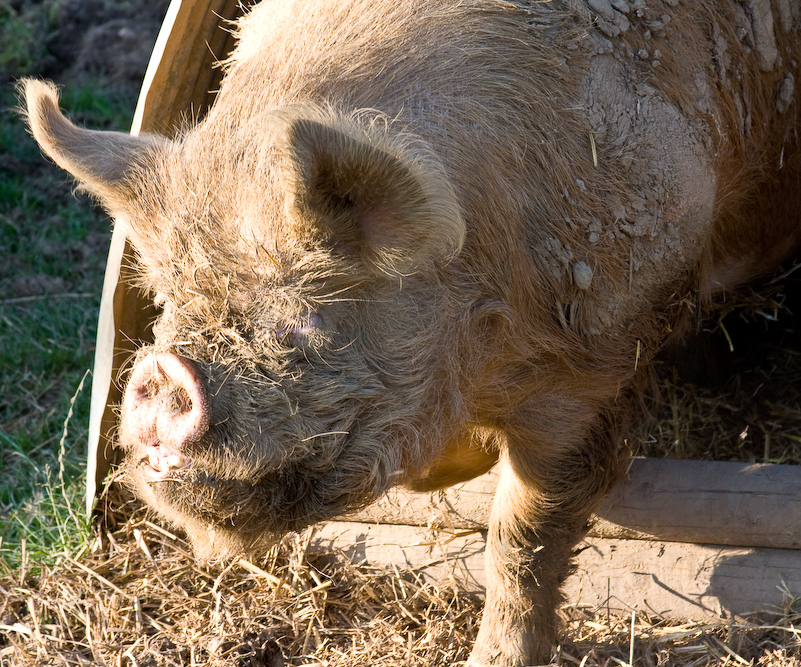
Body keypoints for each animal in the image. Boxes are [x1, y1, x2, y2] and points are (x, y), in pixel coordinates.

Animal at [21, 0, 800, 664]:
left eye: (307, 316)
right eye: (168, 299)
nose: (159, 377)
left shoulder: (593, 366)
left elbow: (524, 535)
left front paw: (491, 657)